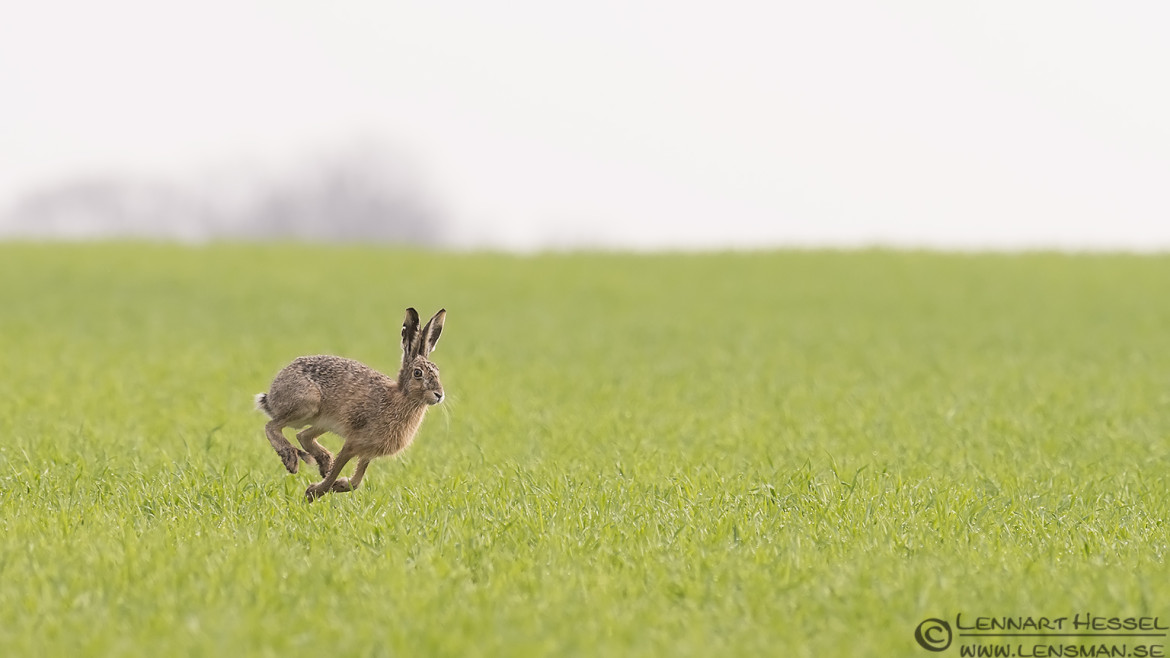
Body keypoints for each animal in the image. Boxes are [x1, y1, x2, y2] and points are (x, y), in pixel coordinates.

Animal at [255, 307, 446, 501]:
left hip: (323, 421)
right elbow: (337, 472)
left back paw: (324, 462)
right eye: (418, 373)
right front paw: (313, 492)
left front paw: (337, 485)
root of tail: (272, 393)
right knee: (272, 426)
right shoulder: (353, 443)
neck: (400, 397)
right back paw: (291, 459)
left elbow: (356, 481)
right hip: (307, 404)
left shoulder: (368, 452)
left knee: (303, 436)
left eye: (438, 372)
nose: (439, 395)